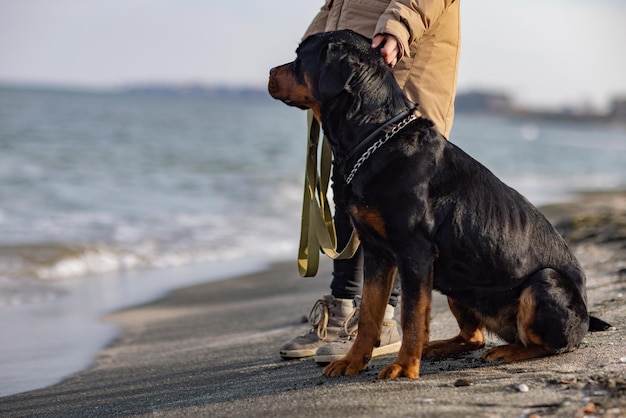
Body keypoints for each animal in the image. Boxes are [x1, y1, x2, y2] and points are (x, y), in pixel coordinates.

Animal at [266, 29, 600, 380]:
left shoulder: (414, 252)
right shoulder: (377, 252)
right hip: (458, 286)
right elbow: (369, 313)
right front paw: (352, 361)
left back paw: (508, 351)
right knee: (474, 336)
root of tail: (587, 316)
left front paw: (403, 367)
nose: (270, 72)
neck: (376, 136)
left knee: (552, 343)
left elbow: (411, 316)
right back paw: (440, 347)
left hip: (544, 283)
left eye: (299, 57)